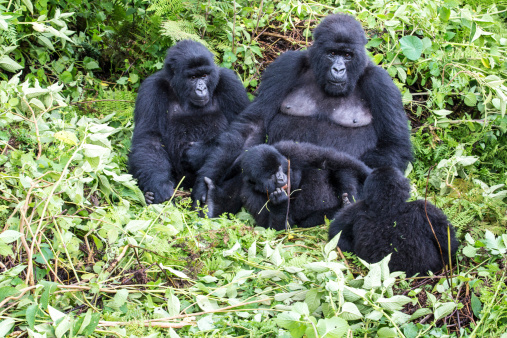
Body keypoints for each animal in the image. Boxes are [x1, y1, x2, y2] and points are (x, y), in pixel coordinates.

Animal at [130, 38, 251, 205]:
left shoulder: (230, 83)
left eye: (204, 75)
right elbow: (149, 138)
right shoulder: (151, 88)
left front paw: (196, 153)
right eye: (193, 78)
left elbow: (248, 134)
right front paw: (160, 186)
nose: (201, 89)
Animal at [193, 13, 412, 219]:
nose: (338, 69)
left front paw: (349, 183)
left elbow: (393, 146)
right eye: (333, 53)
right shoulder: (286, 65)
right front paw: (204, 186)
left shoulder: (382, 84)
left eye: (348, 55)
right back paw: (215, 202)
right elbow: (254, 125)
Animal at [238, 141, 374, 231]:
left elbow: (326, 158)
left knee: (343, 171)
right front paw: (279, 202)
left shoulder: (287, 148)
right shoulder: (249, 195)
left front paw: (369, 173)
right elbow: (274, 227)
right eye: (271, 176)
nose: (281, 178)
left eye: (279, 168)